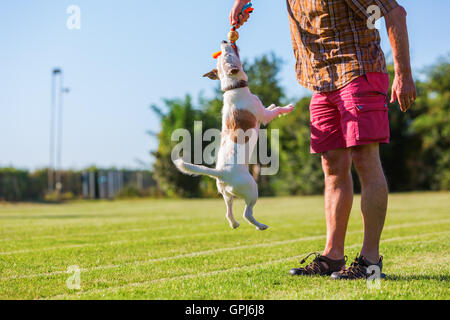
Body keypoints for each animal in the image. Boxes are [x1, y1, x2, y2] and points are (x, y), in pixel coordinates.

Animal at [174, 41, 294, 230]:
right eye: (228, 55)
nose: (224, 41)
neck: (232, 88)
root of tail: (221, 172)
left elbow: (270, 107)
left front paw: (273, 104)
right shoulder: (264, 116)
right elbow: (274, 111)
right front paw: (286, 108)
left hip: (226, 195)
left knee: (228, 212)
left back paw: (234, 224)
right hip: (252, 190)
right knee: (247, 213)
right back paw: (260, 225)